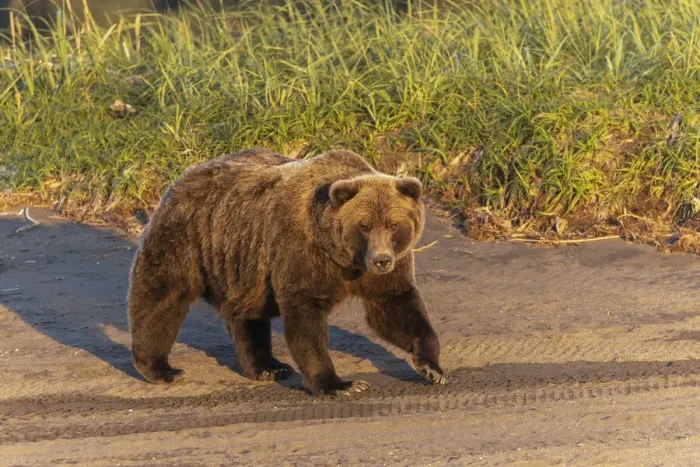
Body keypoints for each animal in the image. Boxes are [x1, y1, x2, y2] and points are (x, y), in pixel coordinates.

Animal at [127, 148, 446, 395]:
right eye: (364, 225)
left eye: (393, 224)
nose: (381, 260)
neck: (343, 257)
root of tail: (183, 176)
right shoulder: (302, 251)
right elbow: (305, 317)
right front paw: (340, 384)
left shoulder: (385, 268)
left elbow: (396, 305)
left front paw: (431, 367)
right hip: (188, 237)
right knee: (163, 295)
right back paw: (160, 368)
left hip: (243, 262)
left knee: (247, 313)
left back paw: (268, 366)